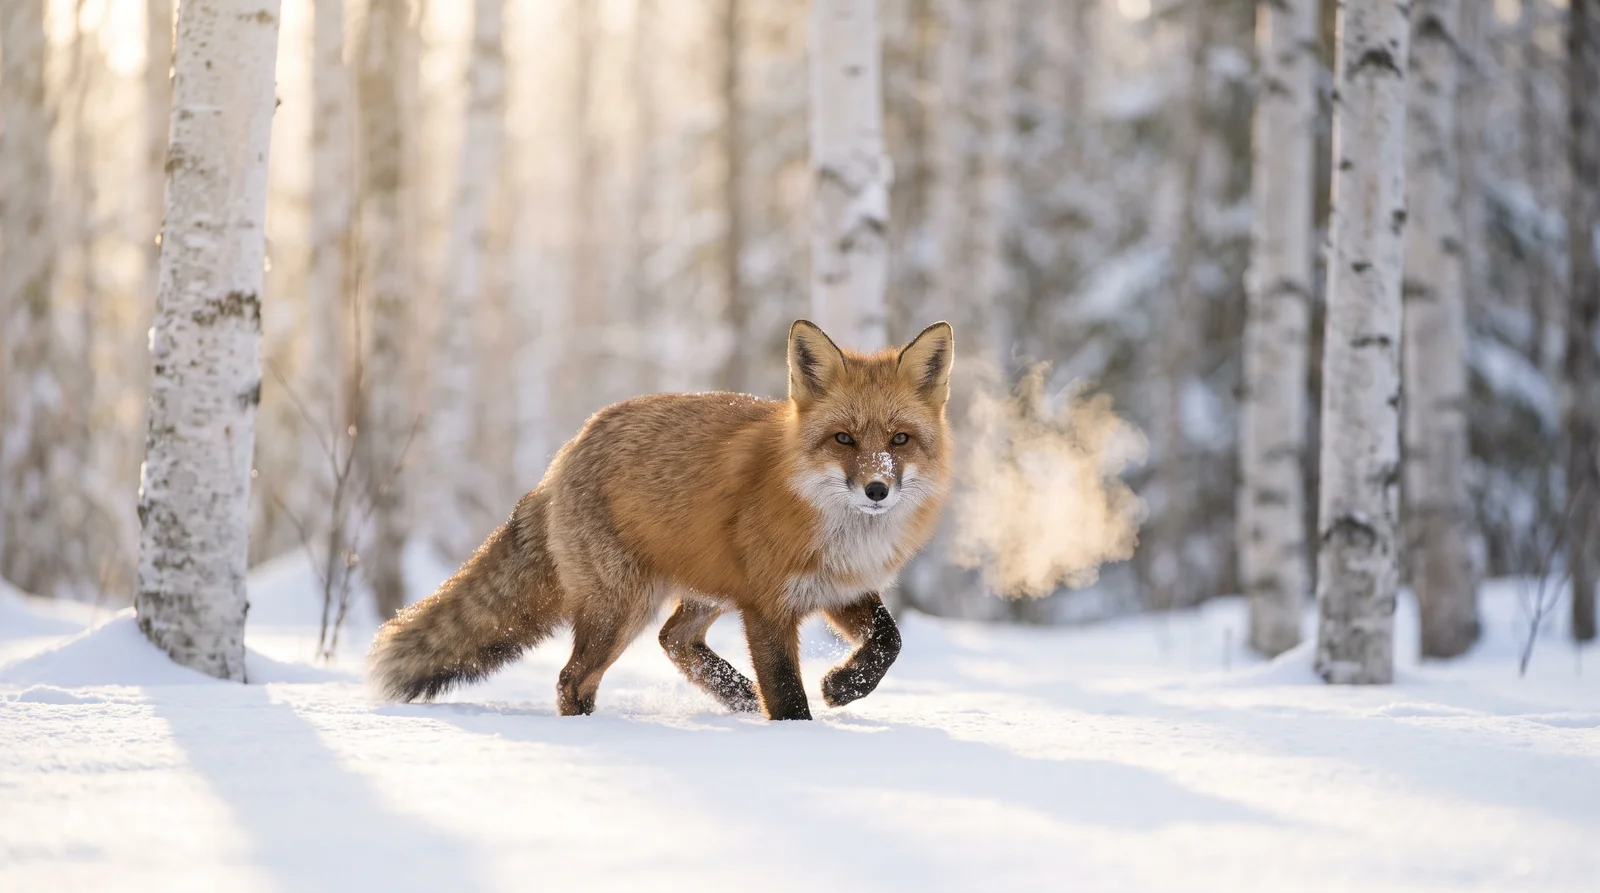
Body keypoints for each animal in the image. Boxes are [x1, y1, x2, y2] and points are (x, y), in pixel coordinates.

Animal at [366, 319, 955, 720]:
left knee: (673, 640)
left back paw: (738, 696)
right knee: (573, 678)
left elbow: (889, 641)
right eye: (843, 439)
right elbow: (788, 695)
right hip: (624, 606)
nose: (877, 489)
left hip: (706, 586)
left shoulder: (836, 585)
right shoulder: (768, 606)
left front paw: (843, 686)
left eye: (900, 439)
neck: (841, 529)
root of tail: (565, 453)